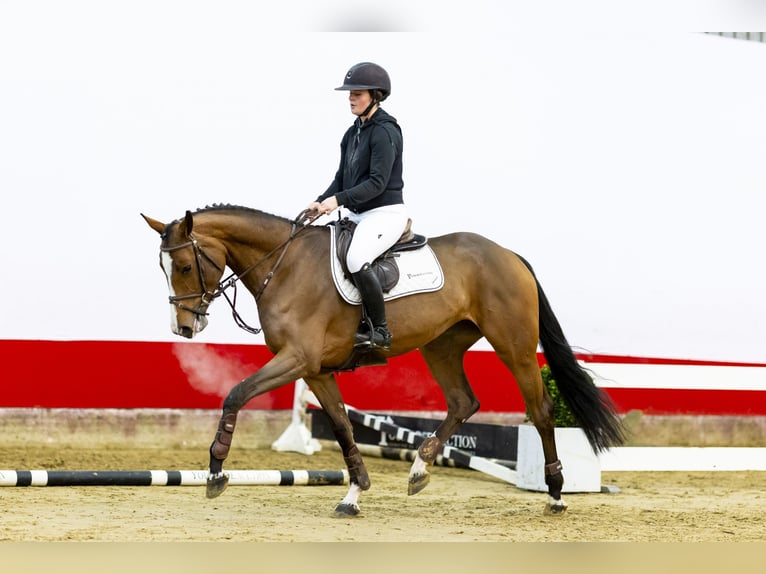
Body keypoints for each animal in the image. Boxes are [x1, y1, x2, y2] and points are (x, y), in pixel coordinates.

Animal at [142, 206, 624, 516]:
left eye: (184, 266)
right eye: (164, 269)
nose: (183, 329)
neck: (284, 266)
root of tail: (510, 255)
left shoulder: (297, 359)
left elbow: (236, 395)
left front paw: (215, 472)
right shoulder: (316, 371)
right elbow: (341, 426)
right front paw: (353, 495)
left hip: (515, 346)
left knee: (540, 409)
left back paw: (556, 494)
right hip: (442, 346)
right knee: (463, 402)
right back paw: (419, 469)